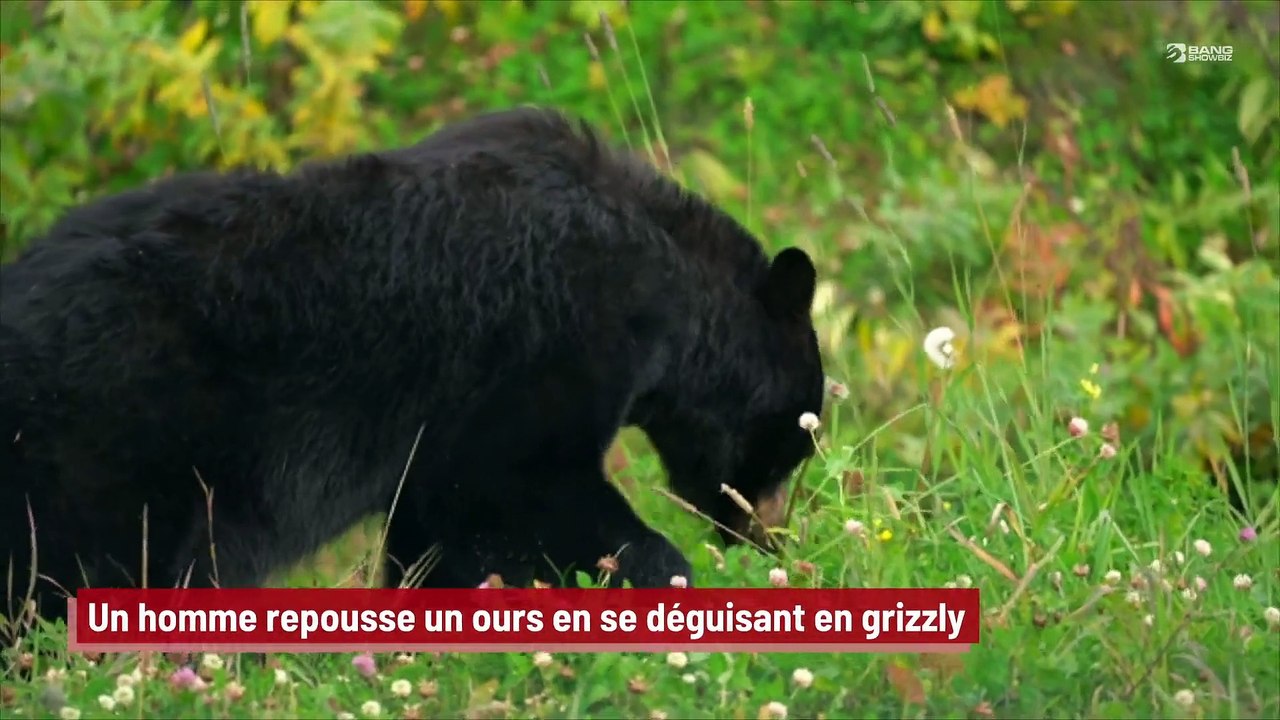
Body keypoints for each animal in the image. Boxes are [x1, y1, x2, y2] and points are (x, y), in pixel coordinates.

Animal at [0, 107, 825, 624]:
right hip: (111, 444)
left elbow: (438, 531)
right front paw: (664, 569)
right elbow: (532, 483)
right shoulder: (541, 349)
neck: (656, 285)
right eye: (798, 438)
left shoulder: (440, 443)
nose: (766, 537)